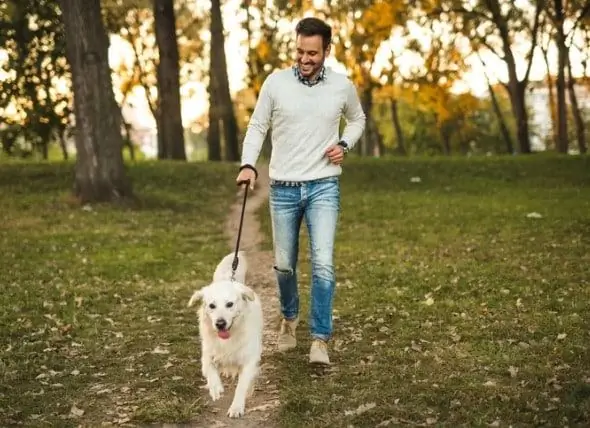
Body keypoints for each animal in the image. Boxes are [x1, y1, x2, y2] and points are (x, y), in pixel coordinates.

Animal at [188, 251, 262, 418]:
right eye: (211, 305)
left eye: (229, 304)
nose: (220, 323)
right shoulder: (207, 354)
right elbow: (210, 369)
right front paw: (215, 387)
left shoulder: (248, 359)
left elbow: (241, 386)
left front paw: (236, 407)